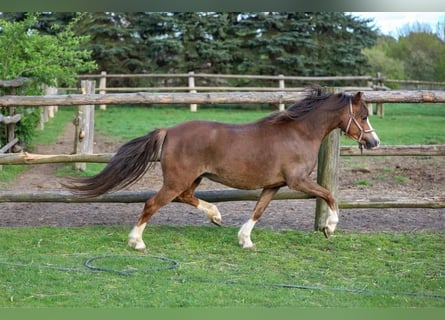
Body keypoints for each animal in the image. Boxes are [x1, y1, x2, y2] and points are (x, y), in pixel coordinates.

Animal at [66, 86, 378, 251]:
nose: (374, 142)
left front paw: (245, 240)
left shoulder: (274, 185)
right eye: (363, 116)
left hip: (193, 179)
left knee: (185, 198)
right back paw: (137, 242)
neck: (299, 133)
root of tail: (169, 131)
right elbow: (329, 195)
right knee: (152, 203)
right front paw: (329, 228)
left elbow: (259, 210)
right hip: (177, 180)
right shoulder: (297, 181)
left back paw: (215, 216)